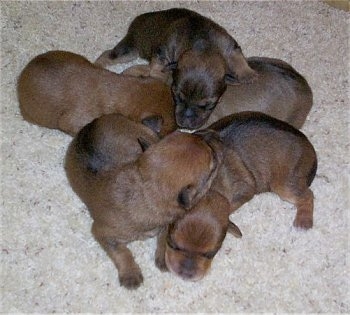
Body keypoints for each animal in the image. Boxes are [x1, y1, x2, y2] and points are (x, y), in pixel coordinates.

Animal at [64, 124, 223, 292]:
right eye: (212, 160)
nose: (215, 134)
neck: (145, 190)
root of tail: (91, 124)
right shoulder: (102, 233)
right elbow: (122, 252)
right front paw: (130, 274)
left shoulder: (167, 224)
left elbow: (163, 237)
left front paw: (162, 256)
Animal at [95, 8, 258, 130]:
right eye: (177, 96)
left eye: (208, 105)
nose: (185, 124)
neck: (203, 46)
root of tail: (138, 19)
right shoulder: (162, 53)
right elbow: (158, 70)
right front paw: (157, 78)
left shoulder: (231, 47)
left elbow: (239, 59)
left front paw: (248, 74)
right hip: (129, 50)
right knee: (107, 55)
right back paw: (97, 65)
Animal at [161, 112, 318, 282]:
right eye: (172, 244)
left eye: (211, 253)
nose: (185, 275)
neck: (209, 191)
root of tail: (309, 146)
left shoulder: (245, 190)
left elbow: (230, 205)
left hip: (284, 184)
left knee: (308, 195)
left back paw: (303, 221)